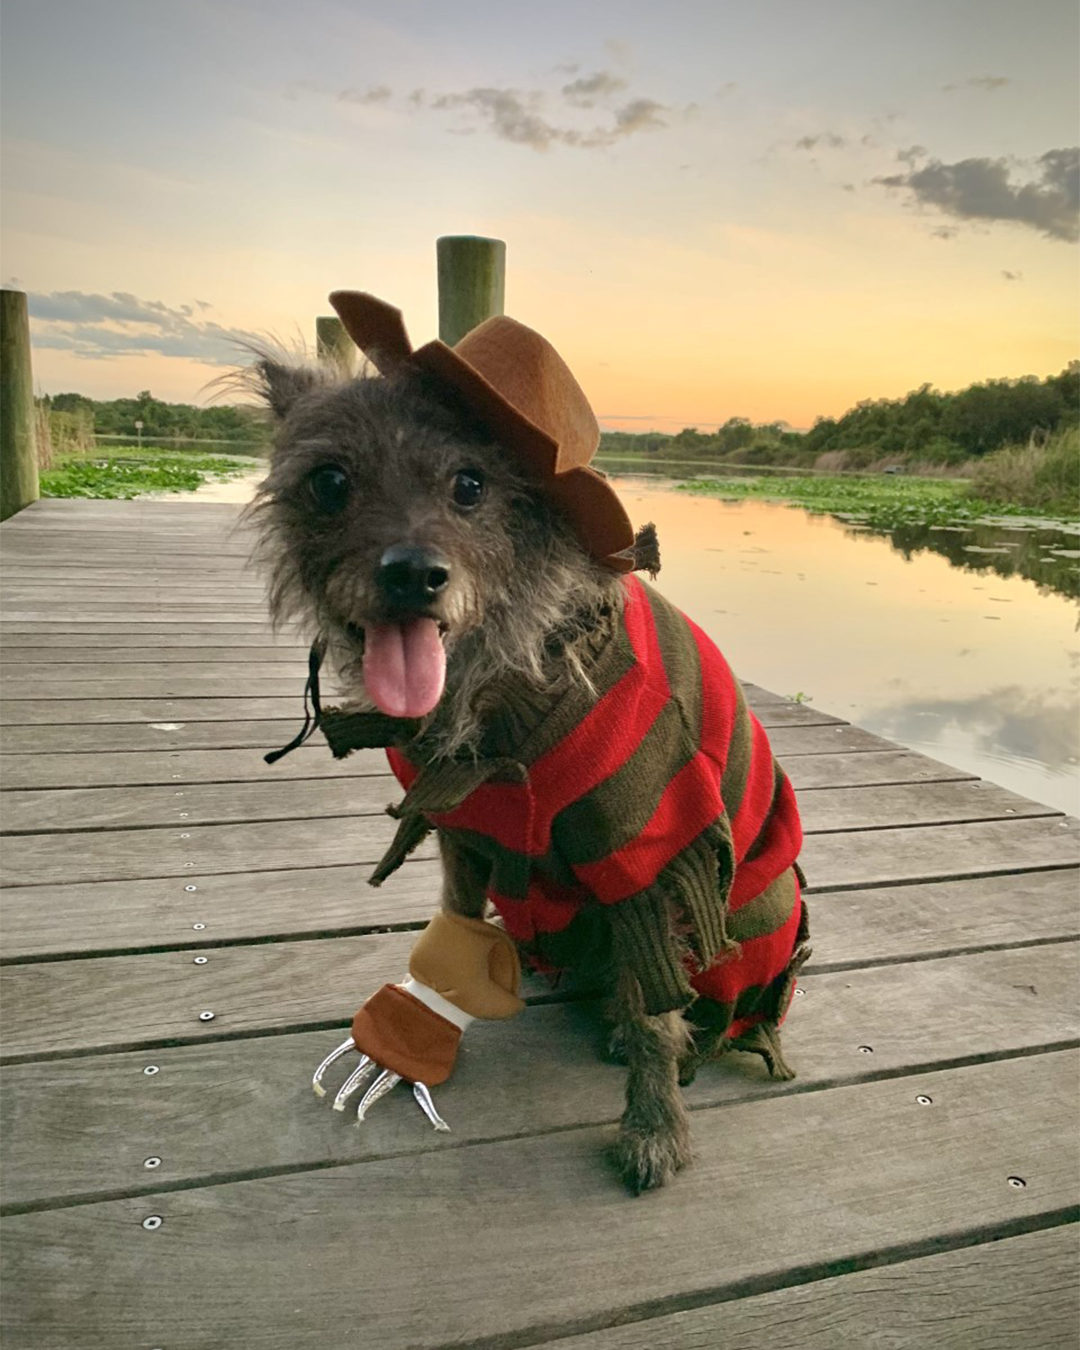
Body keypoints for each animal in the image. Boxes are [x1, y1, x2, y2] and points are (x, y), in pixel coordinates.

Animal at [249, 292, 809, 1193]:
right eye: (329, 481)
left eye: (471, 485)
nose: (413, 573)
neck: (509, 678)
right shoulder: (462, 833)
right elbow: (449, 929)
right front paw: (413, 1032)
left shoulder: (649, 857)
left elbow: (656, 1016)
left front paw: (654, 1127)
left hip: (756, 918)